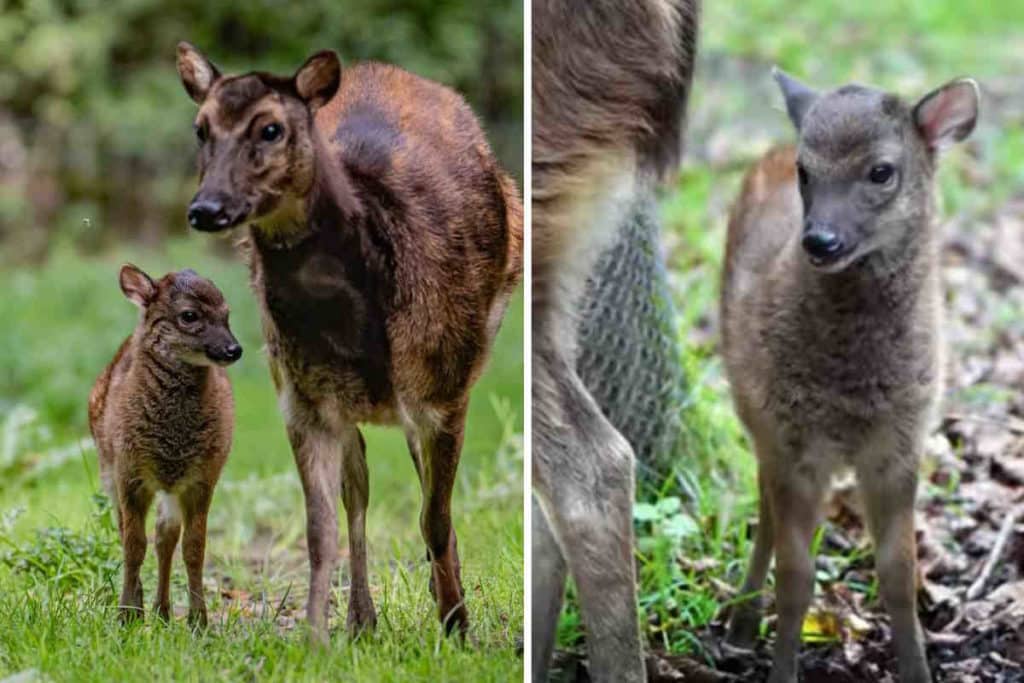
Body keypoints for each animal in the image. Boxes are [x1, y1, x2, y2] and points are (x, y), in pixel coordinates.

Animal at [88, 265, 241, 627]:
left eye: (227, 314)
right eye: (189, 315)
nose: (234, 349)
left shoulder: (203, 476)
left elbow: (194, 547)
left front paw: (199, 621)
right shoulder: (129, 471)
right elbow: (133, 545)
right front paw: (126, 615)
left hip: (171, 487)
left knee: (164, 536)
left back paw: (162, 612)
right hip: (108, 468)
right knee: (129, 531)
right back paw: (144, 608)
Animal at [175, 43, 522, 641]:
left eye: (270, 128)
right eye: (201, 128)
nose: (207, 208)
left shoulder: (444, 388)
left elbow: (434, 516)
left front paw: (456, 625)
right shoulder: (301, 398)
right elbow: (322, 530)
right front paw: (317, 636)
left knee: (424, 495)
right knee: (359, 485)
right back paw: (363, 618)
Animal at [720, 70, 980, 683]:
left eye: (881, 170)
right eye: (805, 170)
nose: (819, 241)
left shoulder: (899, 443)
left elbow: (899, 572)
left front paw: (917, 669)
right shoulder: (791, 440)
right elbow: (796, 576)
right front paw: (781, 671)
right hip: (756, 414)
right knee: (765, 514)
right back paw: (741, 627)